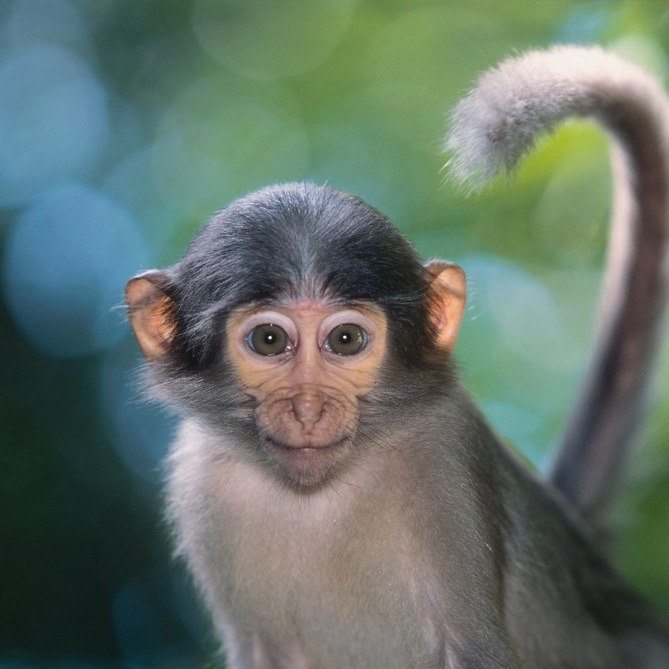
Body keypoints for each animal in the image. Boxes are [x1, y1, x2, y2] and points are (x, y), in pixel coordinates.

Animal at [125, 46, 669, 668]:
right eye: (268, 341)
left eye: (345, 340)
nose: (308, 410)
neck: (319, 497)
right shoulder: (200, 483)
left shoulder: (443, 450)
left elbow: (472, 648)